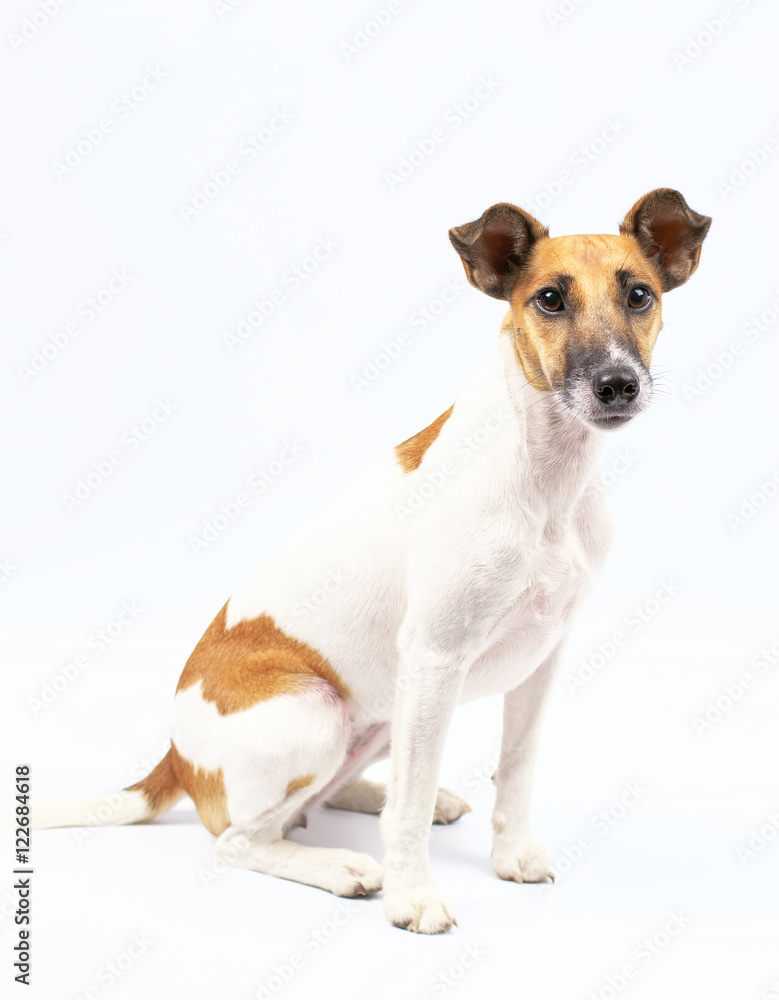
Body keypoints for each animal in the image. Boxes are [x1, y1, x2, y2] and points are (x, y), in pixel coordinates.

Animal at [32, 189, 712, 936]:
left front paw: (510, 854)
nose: (618, 385)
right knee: (241, 838)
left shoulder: (541, 661)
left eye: (640, 295)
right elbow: (405, 814)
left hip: (384, 715)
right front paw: (413, 894)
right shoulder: (435, 658)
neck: (545, 477)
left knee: (321, 800)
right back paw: (339, 866)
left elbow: (515, 769)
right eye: (550, 300)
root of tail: (176, 761)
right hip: (318, 711)